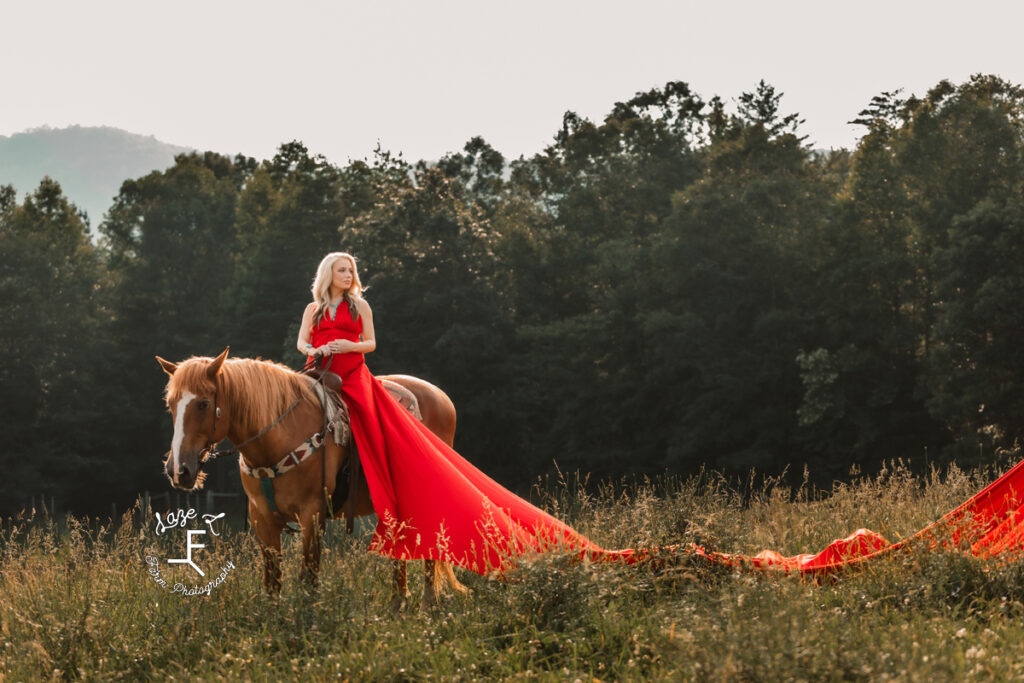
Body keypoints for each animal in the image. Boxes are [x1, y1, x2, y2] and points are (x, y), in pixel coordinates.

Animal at [153, 348, 466, 610]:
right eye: (170, 404)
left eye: (204, 404)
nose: (178, 469)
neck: (278, 437)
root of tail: (443, 398)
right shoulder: (262, 518)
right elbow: (273, 579)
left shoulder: (312, 514)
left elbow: (308, 576)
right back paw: (398, 601)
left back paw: (427, 602)